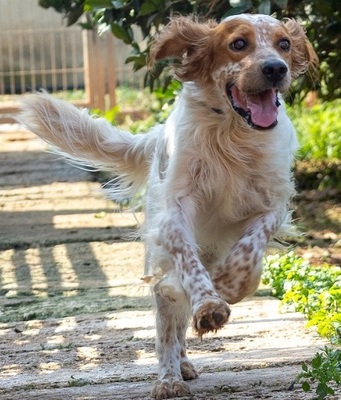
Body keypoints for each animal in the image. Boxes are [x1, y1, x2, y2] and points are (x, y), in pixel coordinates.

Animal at [19, 14, 318, 398]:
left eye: (284, 44)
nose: (276, 68)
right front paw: (210, 304)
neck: (232, 135)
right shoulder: (175, 212)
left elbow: (249, 249)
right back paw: (169, 377)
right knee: (167, 328)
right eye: (238, 44)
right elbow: (188, 269)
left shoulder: (273, 206)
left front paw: (230, 283)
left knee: (180, 322)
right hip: (158, 267)